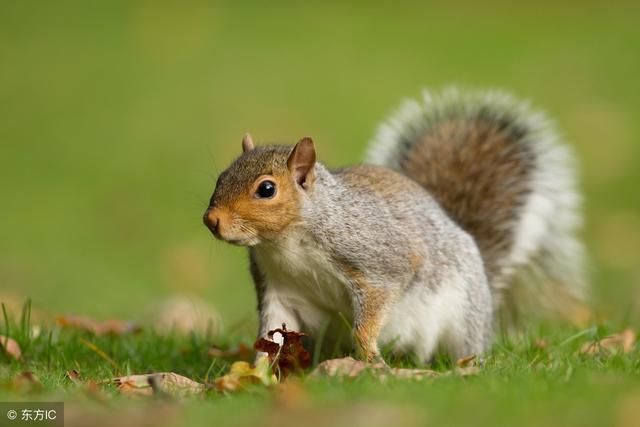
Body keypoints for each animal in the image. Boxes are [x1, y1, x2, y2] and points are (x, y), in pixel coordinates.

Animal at [204, 88, 584, 364]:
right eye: (221, 176)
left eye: (267, 189)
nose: (211, 220)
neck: (287, 243)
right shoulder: (279, 289)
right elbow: (271, 335)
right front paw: (260, 374)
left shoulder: (379, 263)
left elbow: (376, 306)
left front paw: (370, 357)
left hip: (464, 313)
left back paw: (467, 366)